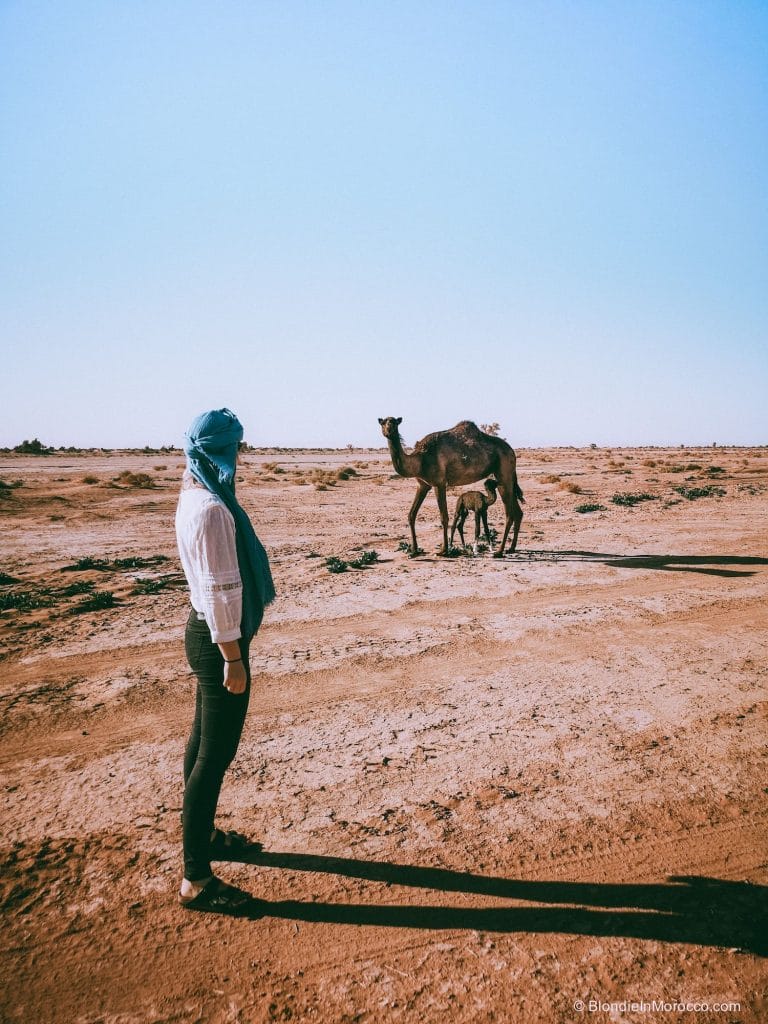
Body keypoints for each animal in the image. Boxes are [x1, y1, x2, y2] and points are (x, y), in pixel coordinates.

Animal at [376, 417, 528, 557]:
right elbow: (411, 515)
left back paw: (500, 551)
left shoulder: (439, 483)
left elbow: (444, 517)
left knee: (510, 513)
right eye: (383, 423)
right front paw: (414, 551)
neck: (419, 461)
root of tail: (512, 451)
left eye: (395, 423)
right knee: (518, 512)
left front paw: (444, 550)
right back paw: (511, 548)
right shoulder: (423, 485)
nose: (389, 430)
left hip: (504, 473)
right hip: (505, 477)